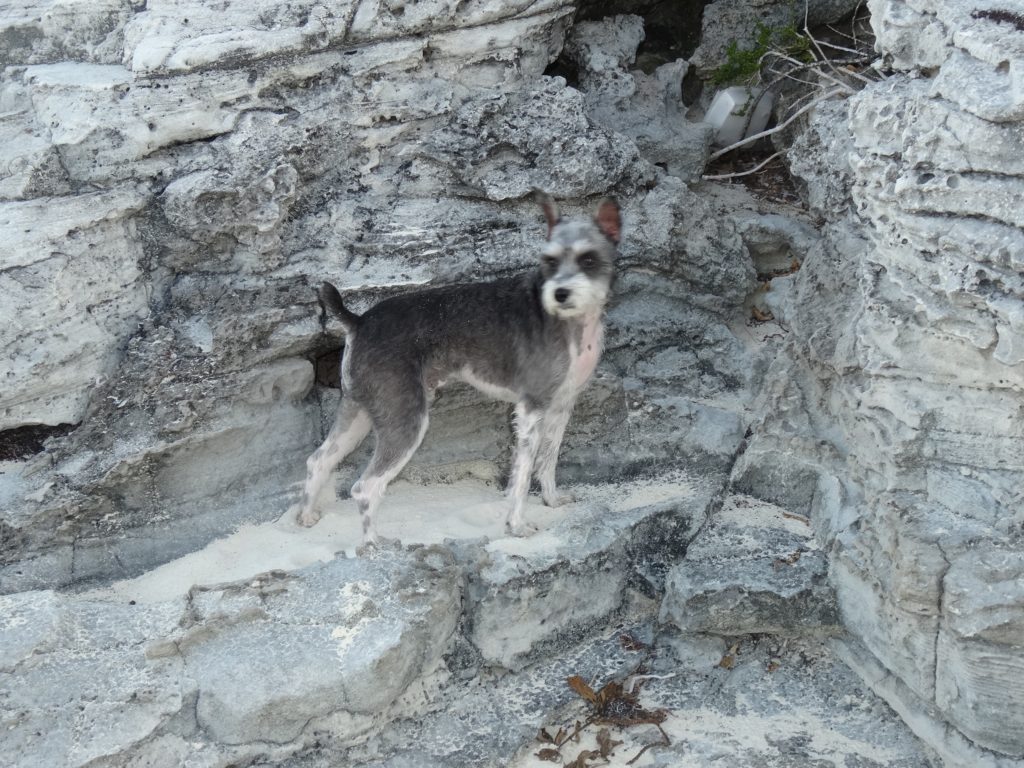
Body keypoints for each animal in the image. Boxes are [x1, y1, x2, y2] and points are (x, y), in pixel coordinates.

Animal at [292, 198, 618, 548]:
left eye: (588, 259)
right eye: (550, 260)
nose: (561, 293)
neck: (568, 319)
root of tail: (359, 321)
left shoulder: (561, 405)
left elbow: (548, 459)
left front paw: (552, 501)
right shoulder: (532, 409)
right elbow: (523, 473)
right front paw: (516, 526)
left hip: (359, 412)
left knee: (319, 459)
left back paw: (307, 516)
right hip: (405, 421)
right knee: (365, 487)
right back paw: (374, 546)